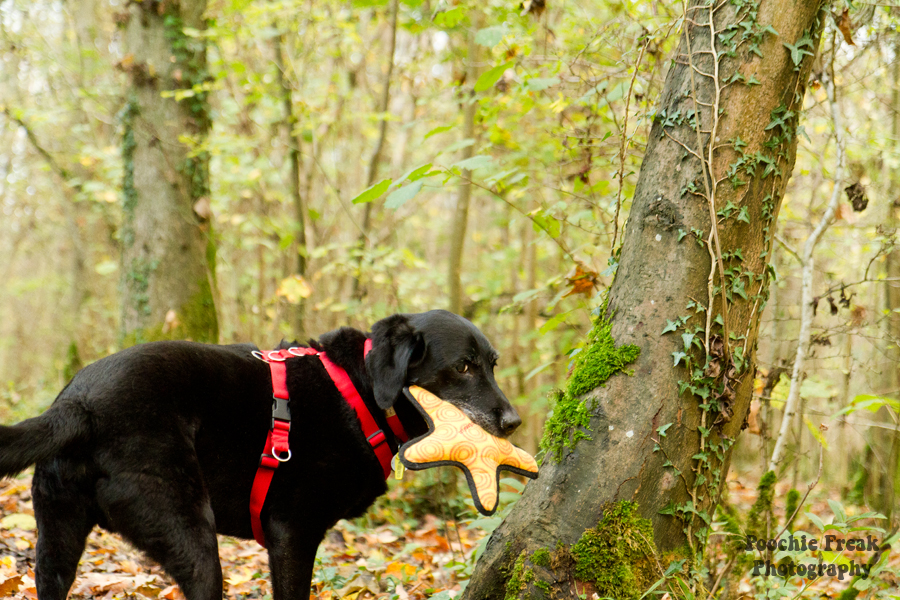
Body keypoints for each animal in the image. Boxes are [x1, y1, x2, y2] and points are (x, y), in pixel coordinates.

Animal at [0, 312, 520, 596]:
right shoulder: (292, 533)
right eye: (464, 367)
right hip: (192, 537)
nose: (514, 422)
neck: (361, 391)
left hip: (56, 540)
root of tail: (79, 405)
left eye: (494, 365)